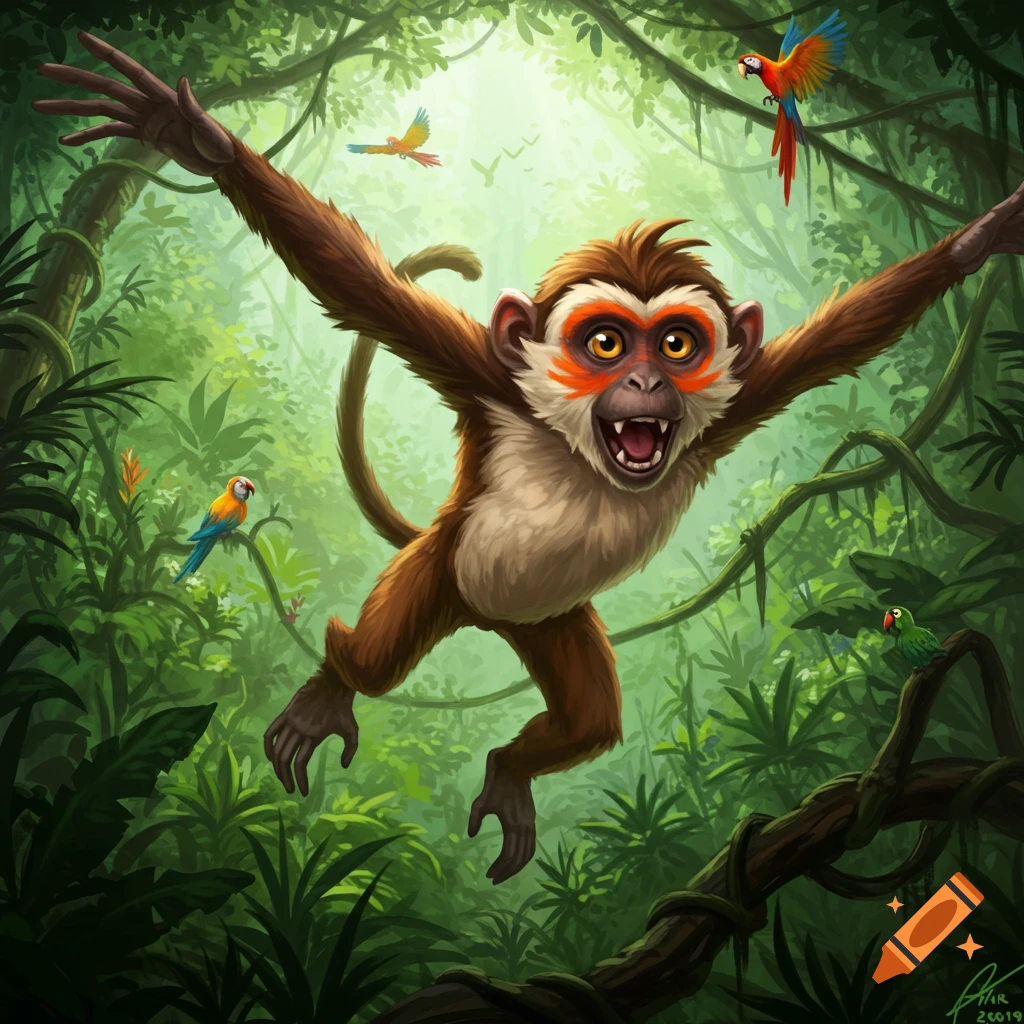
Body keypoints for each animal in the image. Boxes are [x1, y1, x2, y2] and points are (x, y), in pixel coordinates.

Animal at [34, 31, 1024, 885]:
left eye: (675, 346)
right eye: (604, 344)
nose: (647, 385)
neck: (582, 450)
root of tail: (488, 618)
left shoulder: (740, 398)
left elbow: (838, 340)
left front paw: (982, 239)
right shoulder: (490, 381)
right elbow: (363, 291)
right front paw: (193, 137)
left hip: (553, 622)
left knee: (591, 720)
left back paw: (514, 765)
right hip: (445, 567)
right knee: (386, 650)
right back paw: (338, 678)